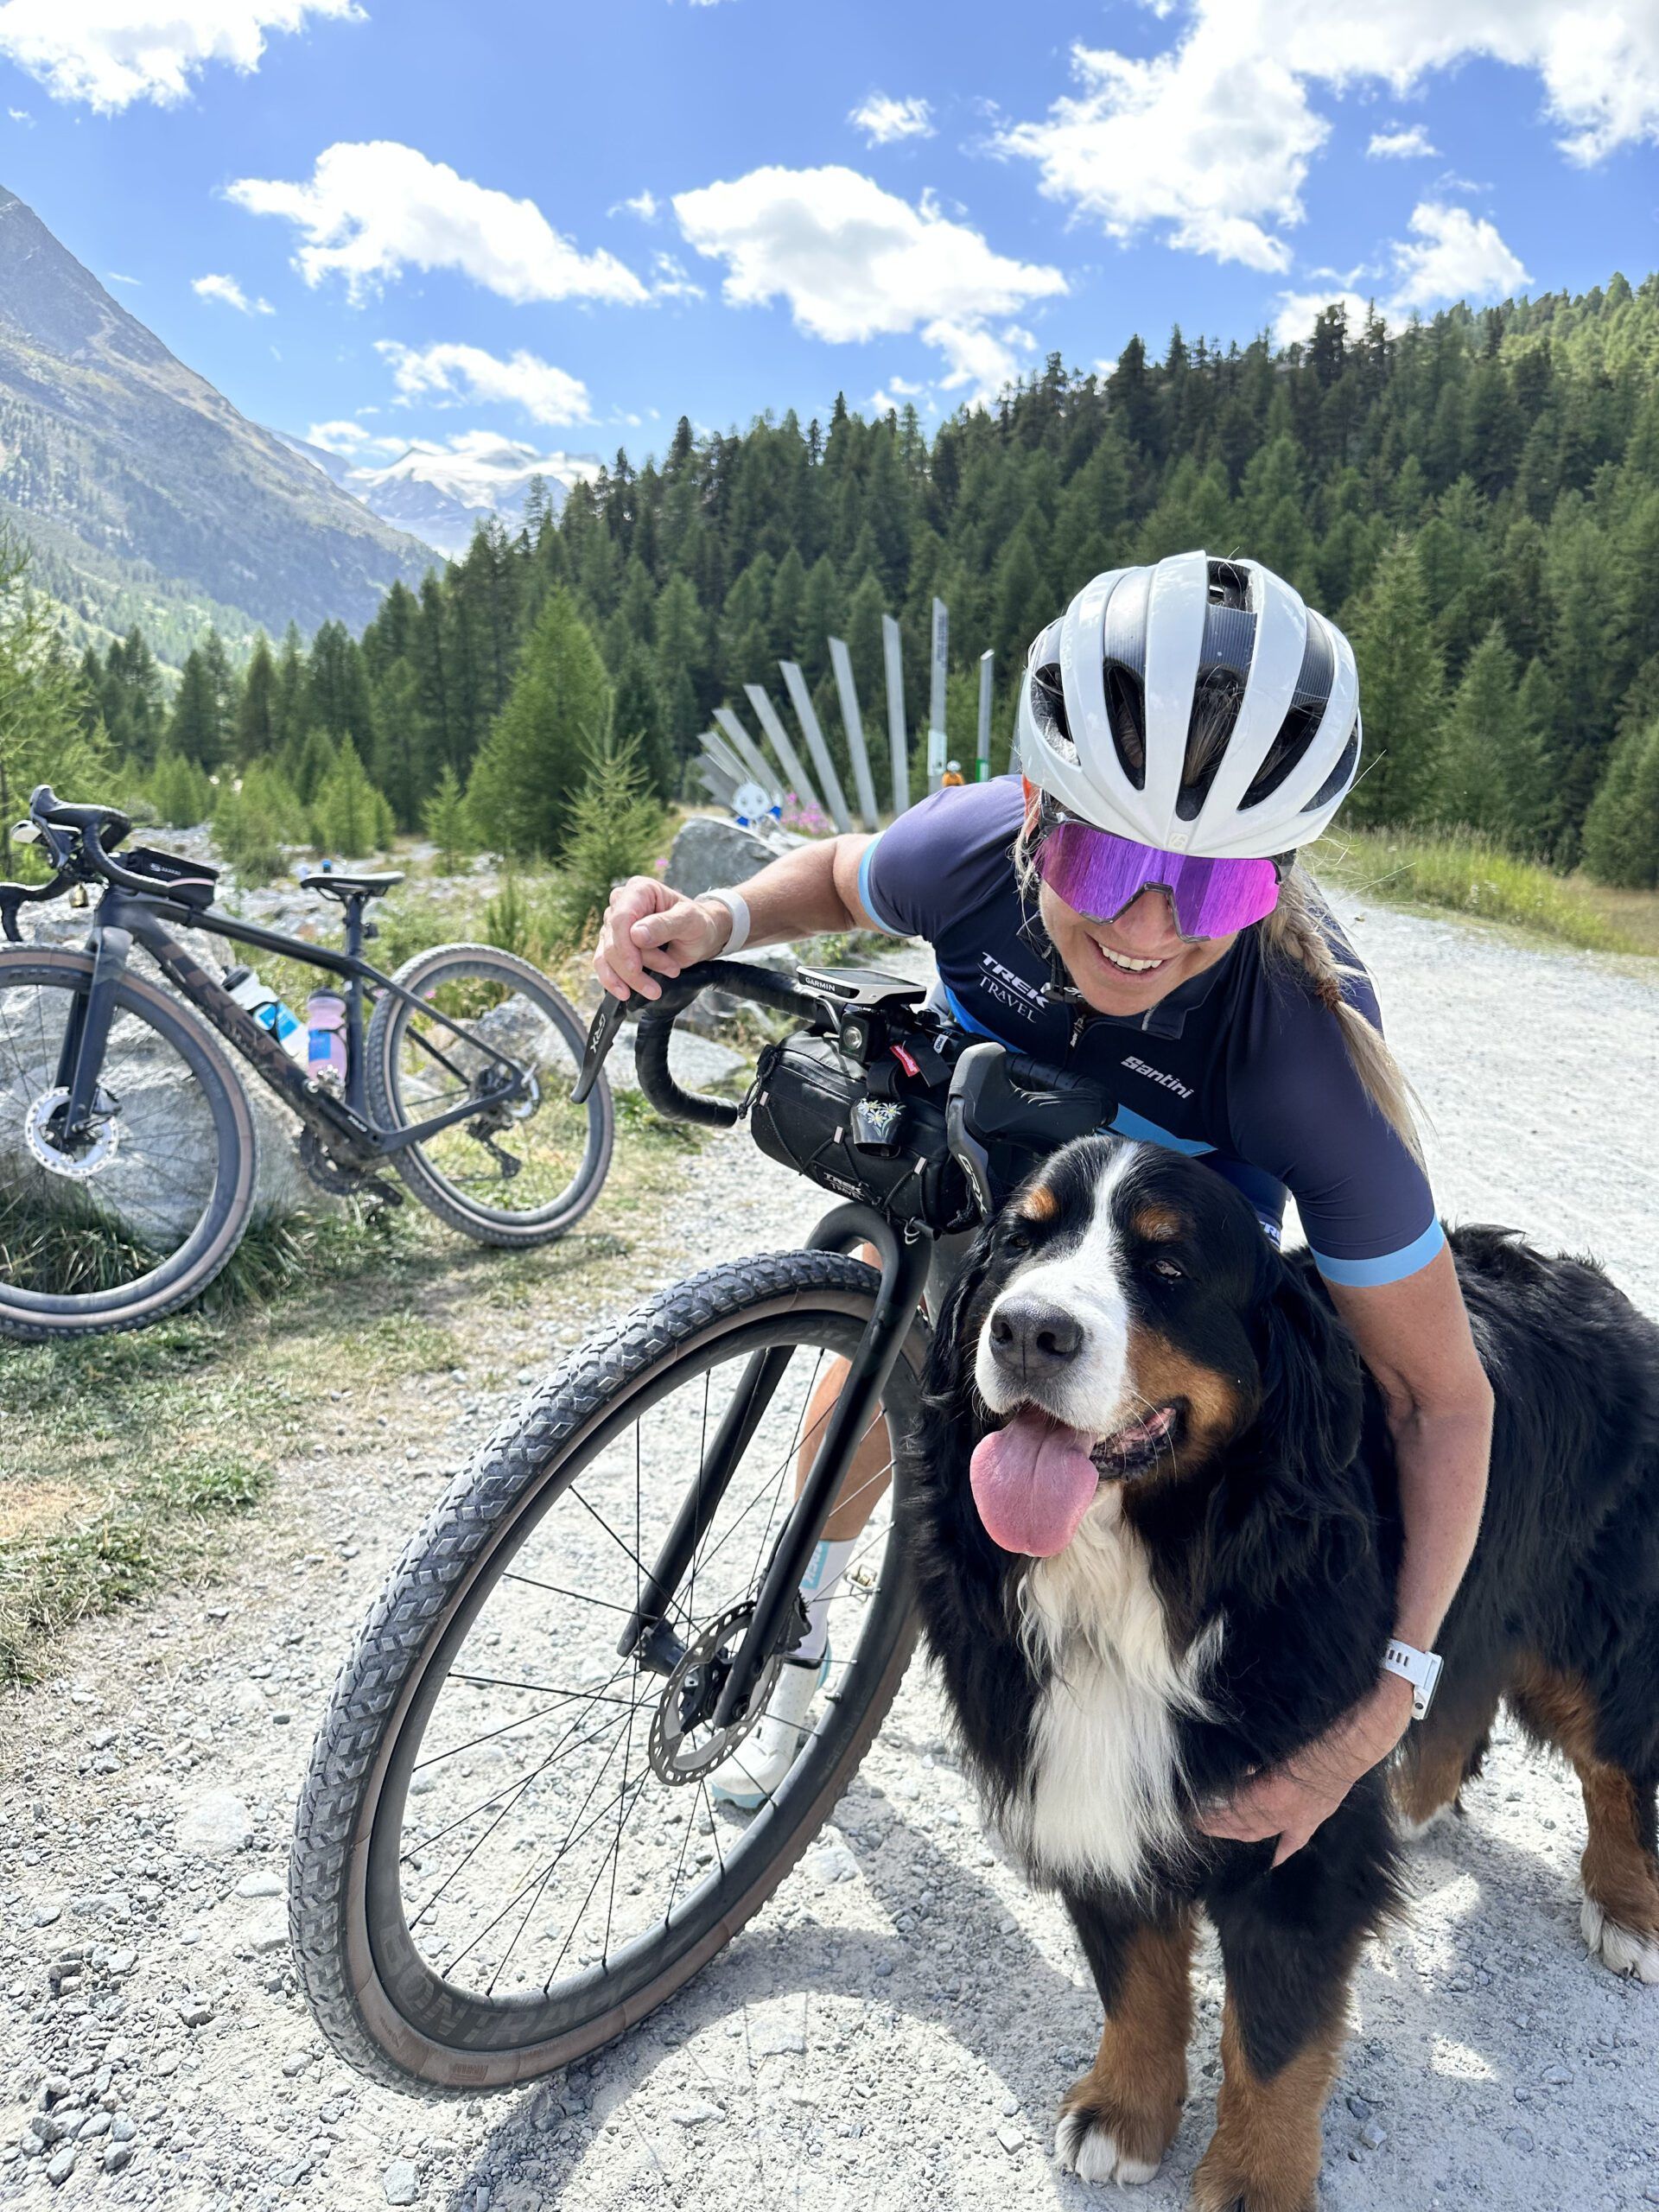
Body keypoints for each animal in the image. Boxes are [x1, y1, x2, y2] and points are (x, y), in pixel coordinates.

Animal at [911, 1141, 1659, 2212]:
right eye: (1020, 1236)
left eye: (1168, 1267)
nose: (1026, 1330)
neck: (1162, 1572)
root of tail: (1596, 1287)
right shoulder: (1078, 1780)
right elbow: (1134, 1975)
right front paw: (1124, 2113)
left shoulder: (1298, 1826)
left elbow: (1275, 2037)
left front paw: (1253, 2181)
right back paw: (1419, 1798)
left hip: (1594, 1622)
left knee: (1613, 1761)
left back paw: (1626, 1906)